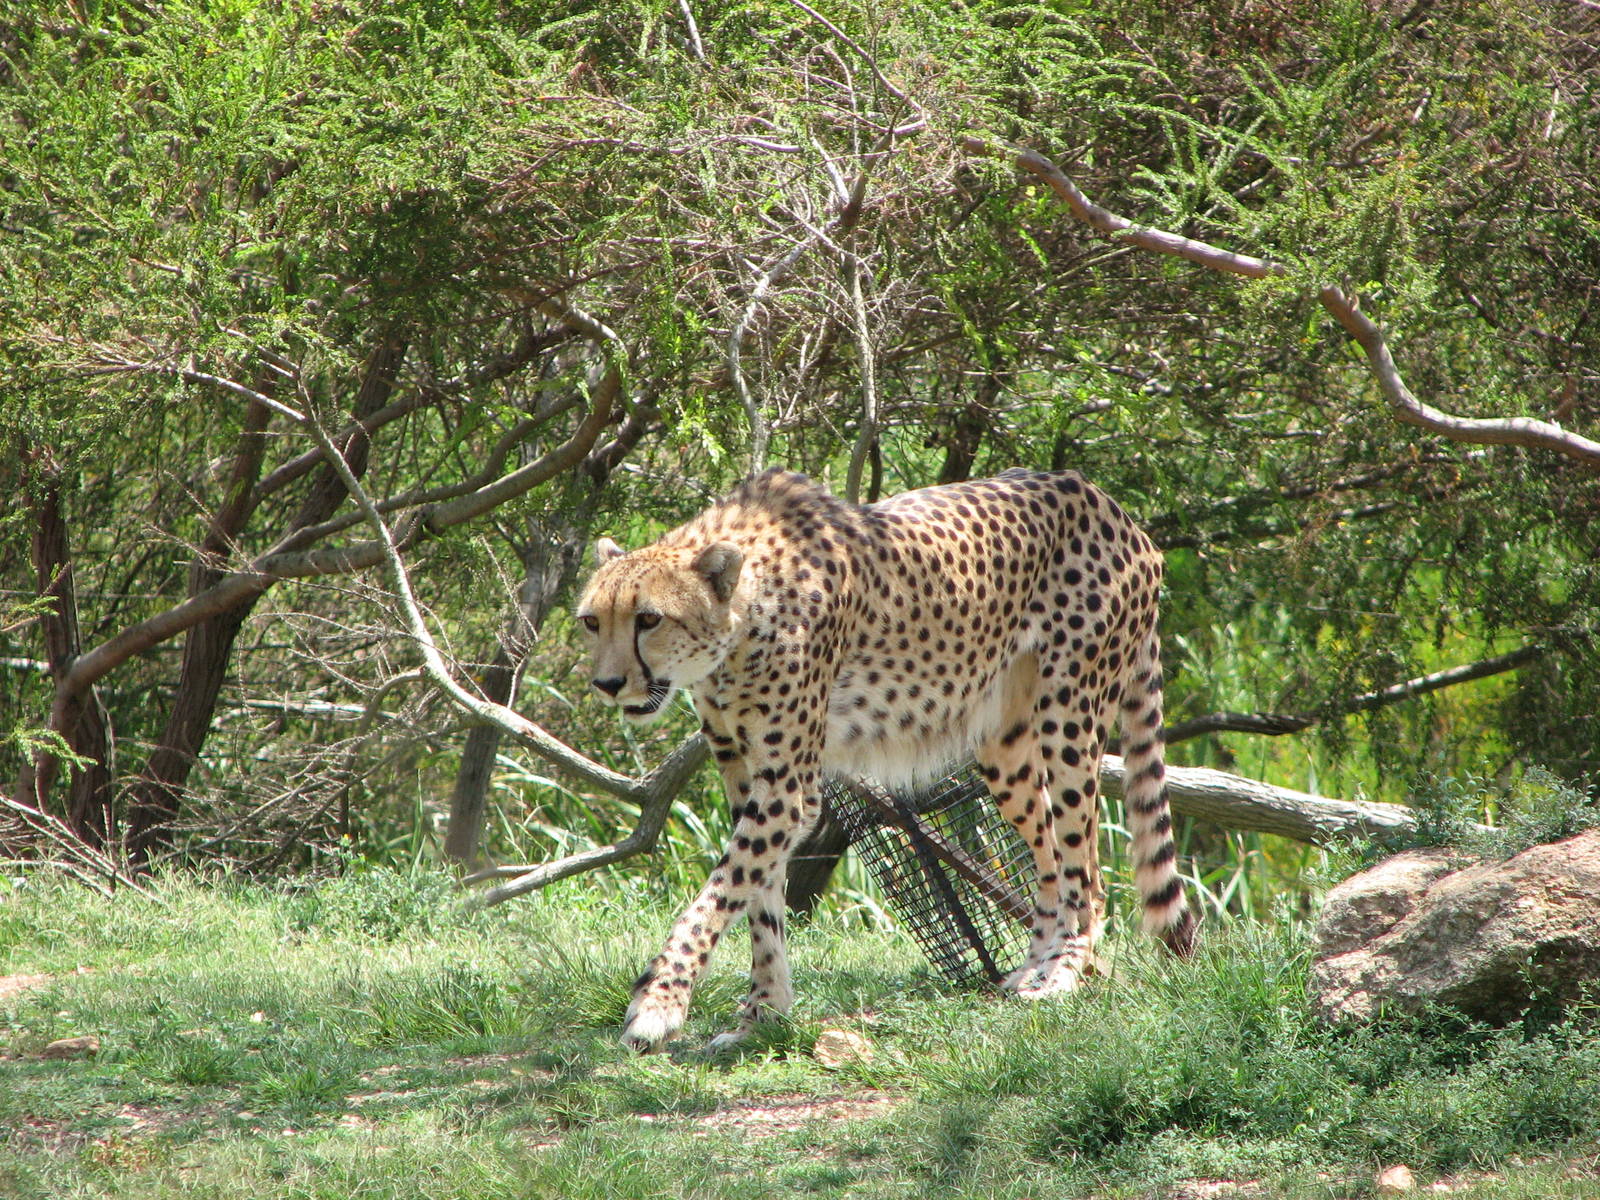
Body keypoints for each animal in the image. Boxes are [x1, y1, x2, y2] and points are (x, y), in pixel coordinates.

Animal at [575, 467, 1197, 1051]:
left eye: (649, 619)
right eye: (591, 621)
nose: (606, 684)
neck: (740, 622)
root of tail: (1111, 506)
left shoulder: (788, 788)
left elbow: (719, 893)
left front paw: (658, 1004)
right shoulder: (743, 773)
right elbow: (758, 898)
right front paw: (764, 1014)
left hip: (1069, 717)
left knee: (1085, 869)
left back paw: (1064, 973)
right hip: (1004, 744)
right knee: (1051, 854)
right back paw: (1033, 968)